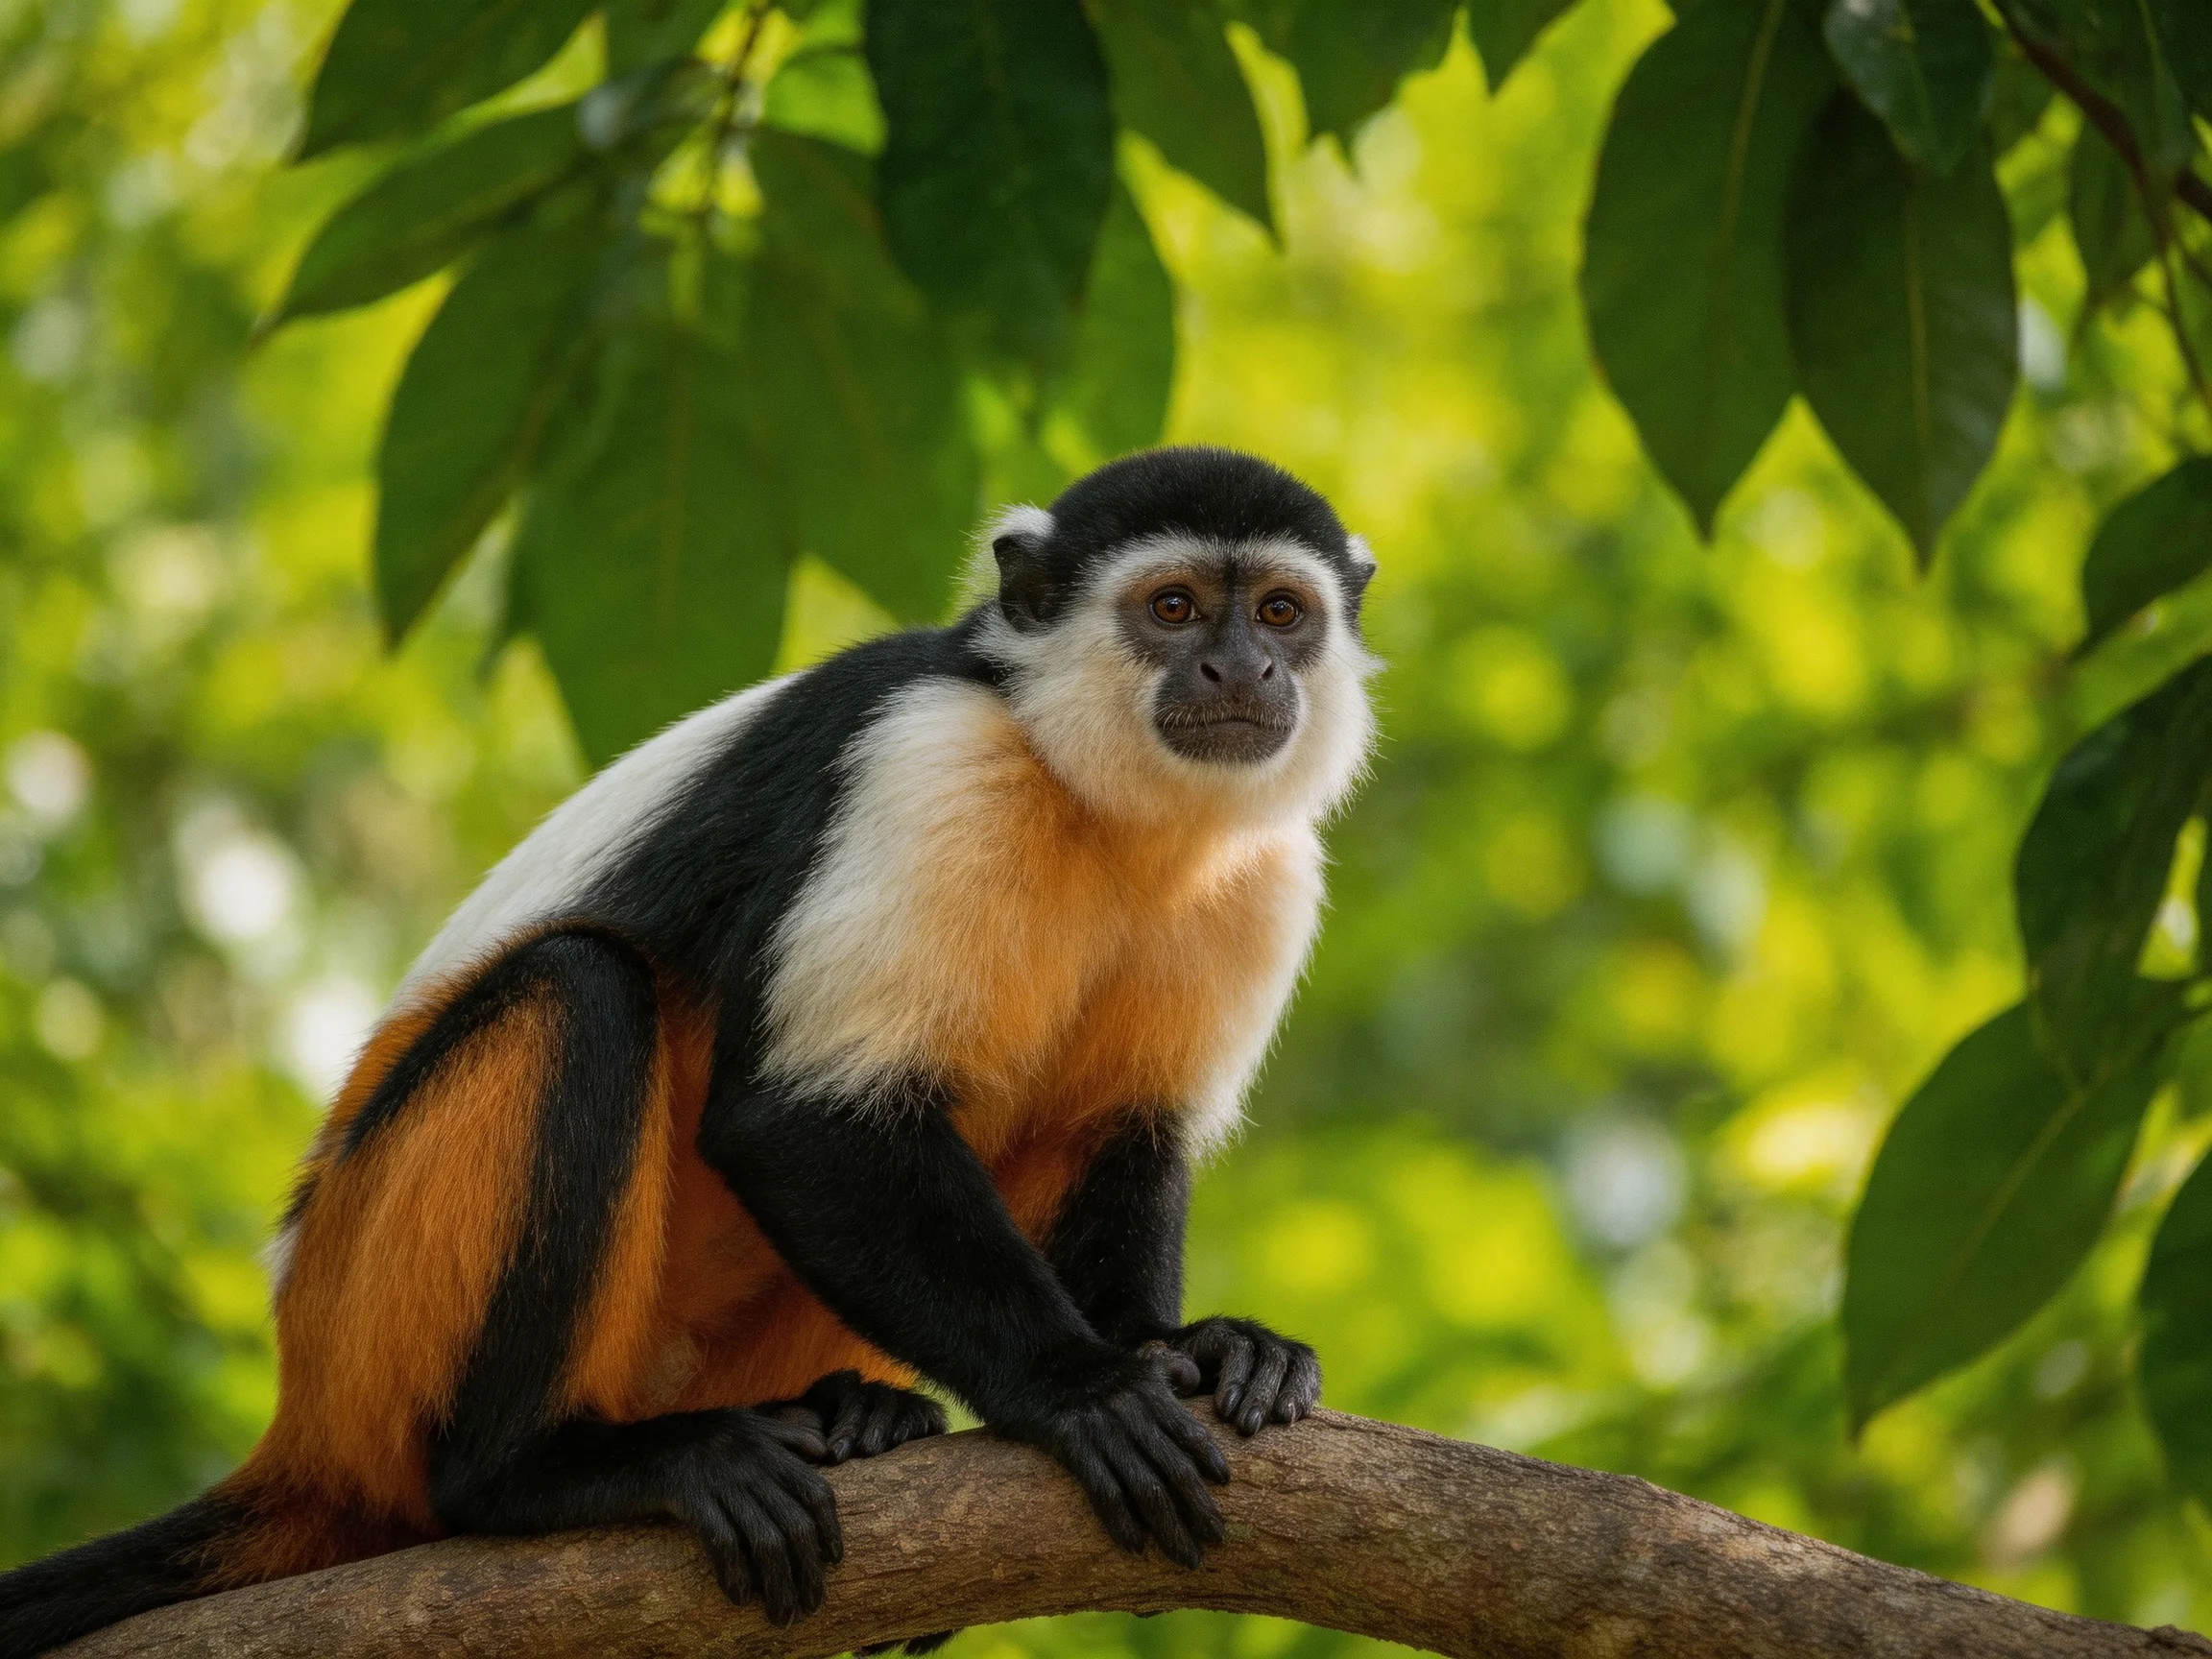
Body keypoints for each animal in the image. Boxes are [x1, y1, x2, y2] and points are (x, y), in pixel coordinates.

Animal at [0, 445, 1379, 1657]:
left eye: (1281, 610)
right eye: (1172, 606)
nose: (1243, 664)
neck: (1092, 797)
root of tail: (304, 1419)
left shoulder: (1262, 878)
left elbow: (1120, 1133)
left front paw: (1183, 1348)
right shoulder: (928, 760)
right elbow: (799, 1123)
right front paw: (1078, 1385)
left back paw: (845, 1415)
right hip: (367, 1327)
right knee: (577, 990)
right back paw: (534, 1472)